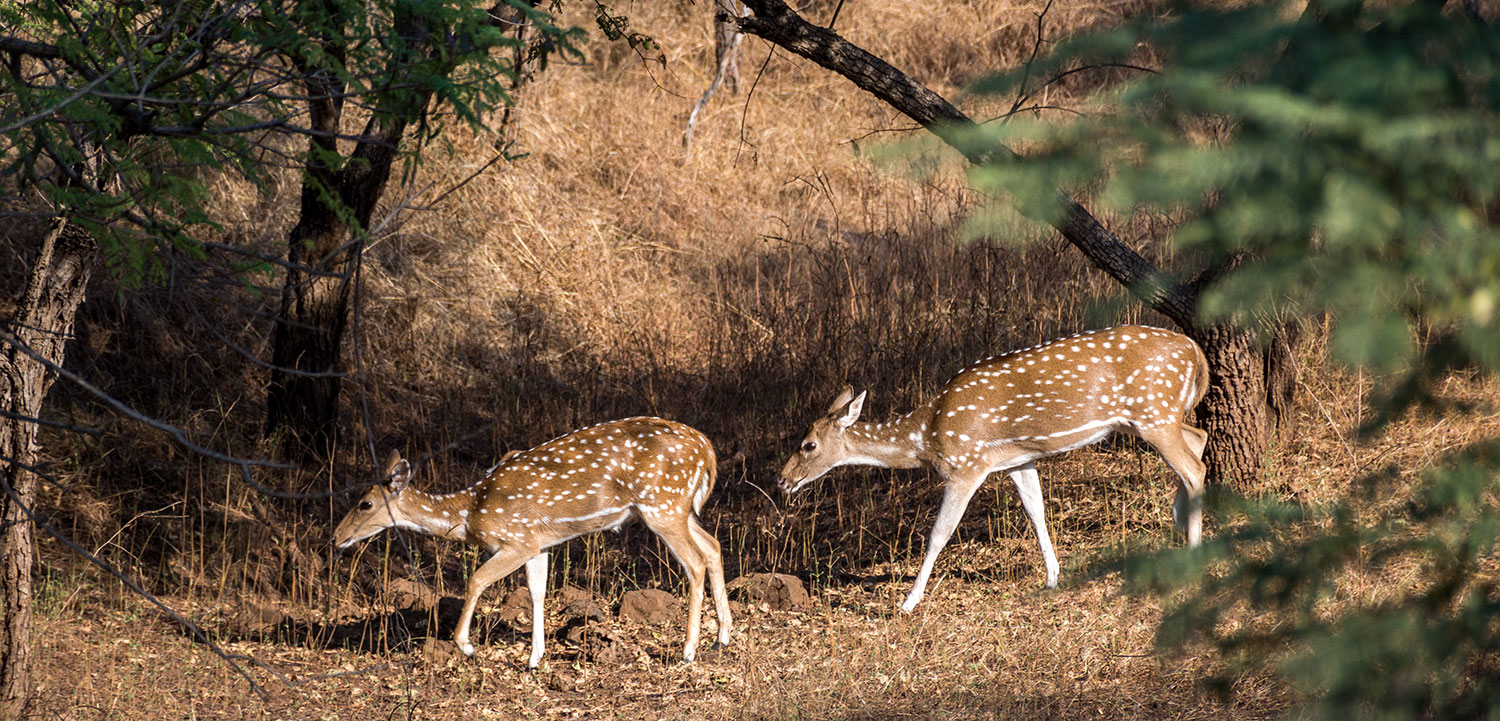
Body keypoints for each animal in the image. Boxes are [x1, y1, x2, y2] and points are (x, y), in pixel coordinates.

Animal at [333, 419, 732, 665]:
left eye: (365, 503)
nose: (336, 537)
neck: (470, 513)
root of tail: (708, 450)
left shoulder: (517, 539)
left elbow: (476, 579)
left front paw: (466, 645)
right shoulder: (538, 543)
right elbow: (537, 591)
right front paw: (534, 658)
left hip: (662, 505)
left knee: (695, 561)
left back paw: (689, 649)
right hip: (679, 508)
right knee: (713, 546)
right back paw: (722, 638)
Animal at [780, 326, 1212, 605]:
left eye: (808, 445)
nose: (783, 480)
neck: (926, 436)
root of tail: (1196, 350)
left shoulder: (966, 464)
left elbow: (939, 533)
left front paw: (908, 601)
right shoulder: (1016, 460)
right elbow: (1036, 512)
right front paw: (1053, 579)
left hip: (1154, 412)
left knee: (1195, 468)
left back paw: (1192, 549)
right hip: (1157, 417)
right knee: (1198, 438)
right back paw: (1178, 522)